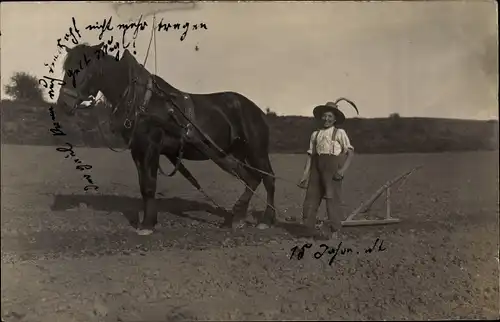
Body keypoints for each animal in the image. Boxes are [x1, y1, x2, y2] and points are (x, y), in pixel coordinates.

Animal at [54, 42, 278, 234]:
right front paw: (148, 221)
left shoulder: (151, 147)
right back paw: (237, 217)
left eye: (84, 69)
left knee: (267, 178)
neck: (141, 100)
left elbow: (150, 184)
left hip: (256, 151)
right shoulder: (137, 149)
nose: (63, 104)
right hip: (233, 153)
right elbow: (144, 184)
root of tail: (256, 110)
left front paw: (147, 225)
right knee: (251, 178)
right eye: (66, 68)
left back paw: (265, 220)